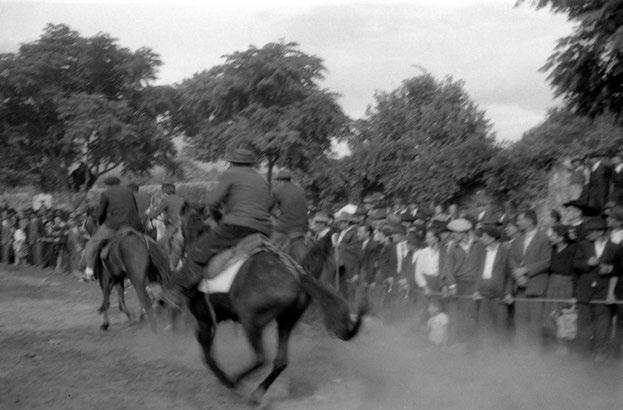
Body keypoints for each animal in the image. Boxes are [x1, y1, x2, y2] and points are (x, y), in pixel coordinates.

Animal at [173, 205, 368, 404]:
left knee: (260, 358)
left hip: (251, 322)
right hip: (286, 322)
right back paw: (256, 393)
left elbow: (205, 350)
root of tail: (297, 276)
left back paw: (234, 381)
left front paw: (222, 376)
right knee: (280, 361)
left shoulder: (204, 318)